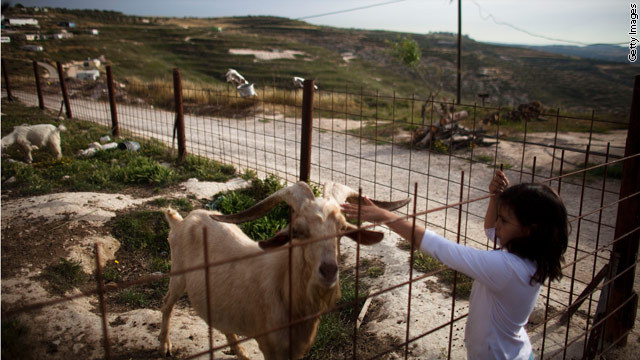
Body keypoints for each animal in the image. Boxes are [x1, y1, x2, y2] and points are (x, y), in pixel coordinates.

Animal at [160, 181, 410, 358]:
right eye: (298, 231)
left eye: (341, 229)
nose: (328, 271)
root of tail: (183, 220)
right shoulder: (270, 346)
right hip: (178, 274)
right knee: (166, 303)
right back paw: (164, 345)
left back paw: (240, 352)